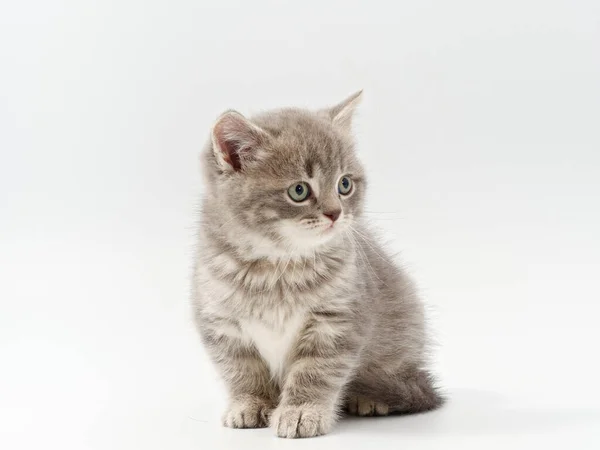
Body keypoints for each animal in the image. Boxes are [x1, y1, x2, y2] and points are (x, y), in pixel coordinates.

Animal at [192, 92, 440, 440]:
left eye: (345, 184)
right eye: (299, 190)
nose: (336, 213)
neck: (277, 265)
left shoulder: (337, 320)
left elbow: (316, 371)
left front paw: (300, 411)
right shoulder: (221, 322)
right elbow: (240, 369)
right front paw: (250, 403)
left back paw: (372, 398)